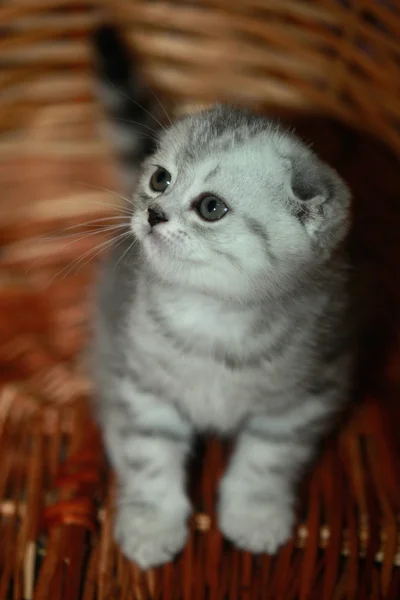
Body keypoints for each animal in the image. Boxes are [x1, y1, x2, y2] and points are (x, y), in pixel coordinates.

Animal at [90, 24, 354, 568]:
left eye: (211, 207)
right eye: (160, 178)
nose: (153, 214)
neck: (213, 320)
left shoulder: (303, 399)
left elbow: (266, 462)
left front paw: (255, 517)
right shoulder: (140, 385)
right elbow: (149, 456)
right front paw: (151, 524)